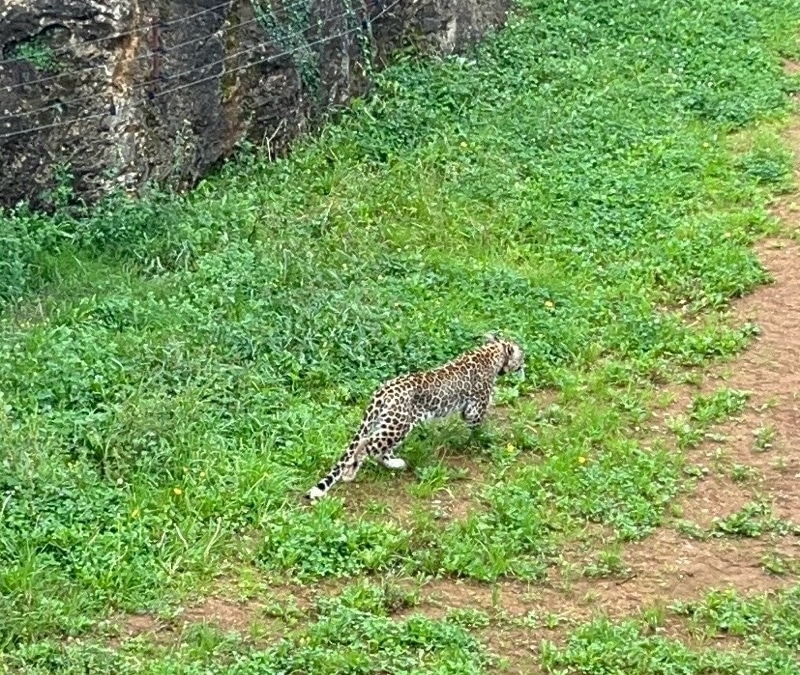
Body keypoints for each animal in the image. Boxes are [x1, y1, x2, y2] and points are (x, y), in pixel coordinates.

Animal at [304, 334, 524, 502]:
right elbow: (478, 427)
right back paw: (351, 473)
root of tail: (382, 391)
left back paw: (396, 464)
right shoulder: (475, 408)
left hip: (391, 424)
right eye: (521, 356)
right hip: (398, 425)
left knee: (378, 450)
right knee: (366, 444)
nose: (524, 365)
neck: (492, 352)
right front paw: (484, 437)